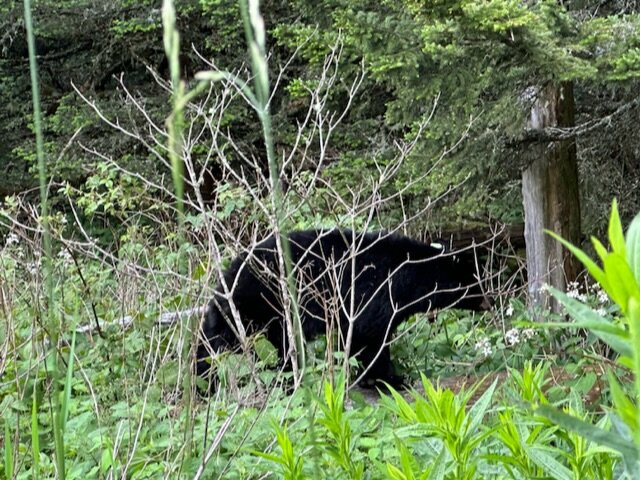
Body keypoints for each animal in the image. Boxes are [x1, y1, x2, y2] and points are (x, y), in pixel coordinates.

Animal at [198, 229, 488, 390]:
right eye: (474, 281)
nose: (489, 301)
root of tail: (222, 286)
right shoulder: (374, 295)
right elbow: (369, 338)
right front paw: (389, 379)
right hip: (262, 310)